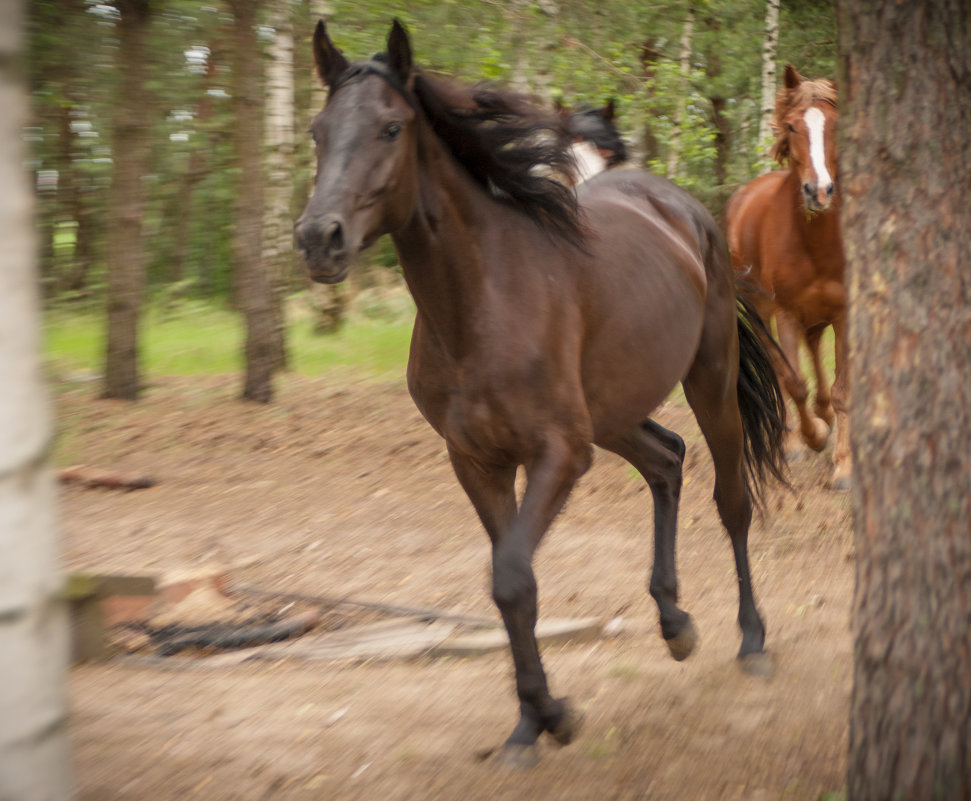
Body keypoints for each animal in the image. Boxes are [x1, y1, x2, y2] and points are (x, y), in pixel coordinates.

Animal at [296, 21, 788, 764]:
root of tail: (685, 211)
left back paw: (752, 640)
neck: (482, 302)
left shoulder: (558, 453)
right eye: (319, 130)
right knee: (666, 460)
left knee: (730, 499)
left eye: (389, 128)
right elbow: (511, 586)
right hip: (613, 413)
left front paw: (552, 715)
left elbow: (512, 576)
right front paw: (532, 722)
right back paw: (674, 622)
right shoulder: (477, 460)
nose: (318, 238)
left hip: (707, 379)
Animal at [724, 69, 848, 490]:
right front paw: (812, 438)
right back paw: (798, 436)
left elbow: (842, 390)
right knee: (780, 372)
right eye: (792, 126)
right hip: (762, 309)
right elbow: (793, 382)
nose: (819, 191)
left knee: (814, 349)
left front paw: (844, 465)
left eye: (835, 125)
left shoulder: (843, 312)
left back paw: (825, 415)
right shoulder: (787, 312)